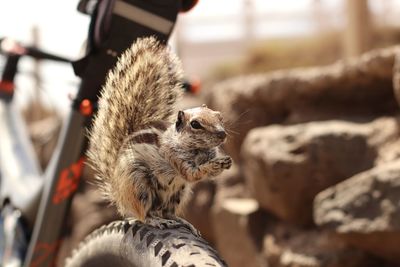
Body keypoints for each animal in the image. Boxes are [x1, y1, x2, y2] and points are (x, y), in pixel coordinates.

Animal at [86, 36, 231, 227]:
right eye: (195, 124)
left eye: (219, 116)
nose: (222, 134)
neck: (198, 150)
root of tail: (118, 193)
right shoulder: (174, 156)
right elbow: (192, 174)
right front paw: (213, 165)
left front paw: (225, 162)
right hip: (139, 186)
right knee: (143, 214)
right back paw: (153, 220)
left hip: (178, 193)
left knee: (166, 211)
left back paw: (179, 221)